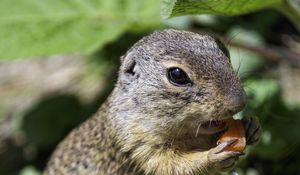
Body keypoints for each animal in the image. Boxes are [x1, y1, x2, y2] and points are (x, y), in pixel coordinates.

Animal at [43, 29, 262, 175]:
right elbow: (170, 166)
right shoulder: (136, 144)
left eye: (223, 49)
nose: (240, 103)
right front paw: (211, 157)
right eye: (177, 75)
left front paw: (251, 126)